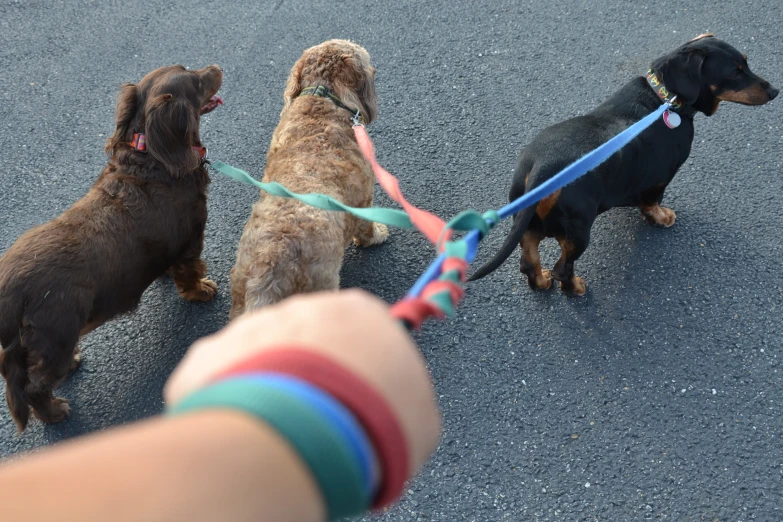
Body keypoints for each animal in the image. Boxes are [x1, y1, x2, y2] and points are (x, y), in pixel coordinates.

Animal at [228, 39, 388, 316]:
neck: (322, 96)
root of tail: (272, 259)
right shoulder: (364, 197)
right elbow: (366, 226)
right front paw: (378, 234)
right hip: (320, 284)